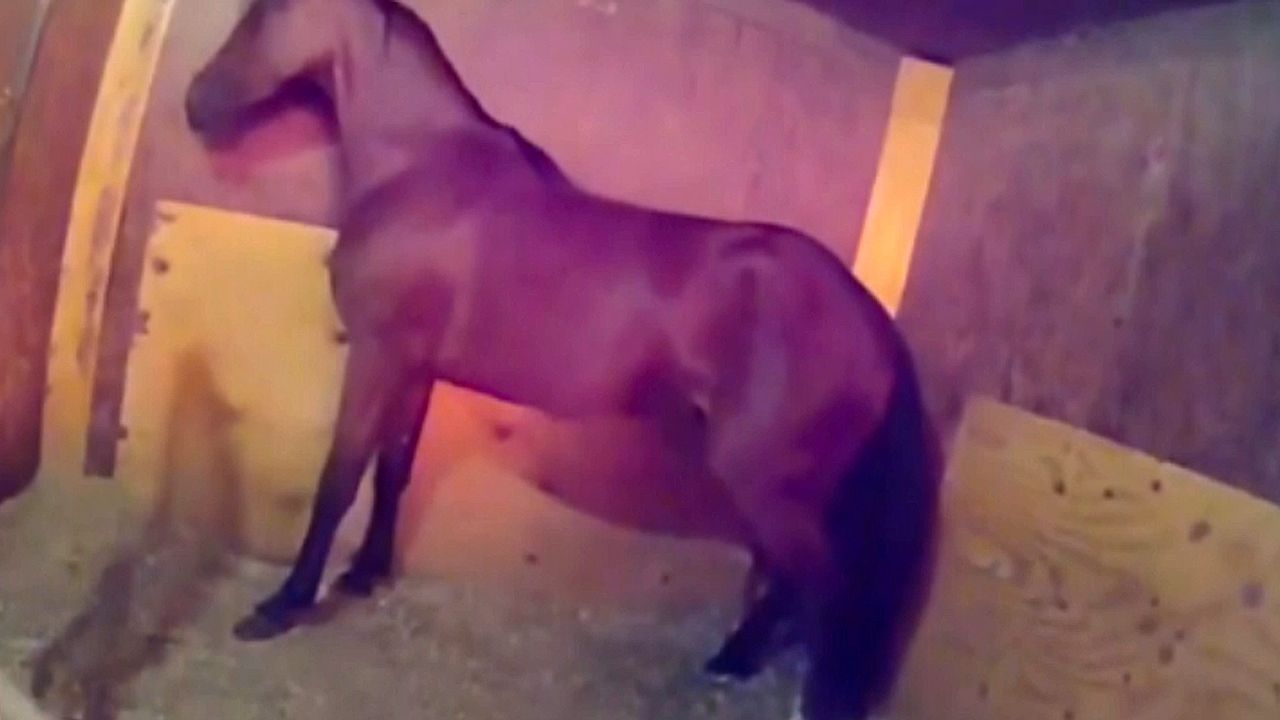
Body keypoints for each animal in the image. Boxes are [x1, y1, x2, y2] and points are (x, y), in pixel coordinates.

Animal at [183, 1, 943, 718]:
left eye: (266, 9)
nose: (197, 103)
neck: (420, 168)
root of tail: (870, 316)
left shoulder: (377, 355)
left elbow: (339, 477)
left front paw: (282, 607)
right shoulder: (415, 367)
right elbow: (394, 470)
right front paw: (365, 575)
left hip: (767, 482)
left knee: (826, 594)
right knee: (791, 585)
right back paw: (730, 660)